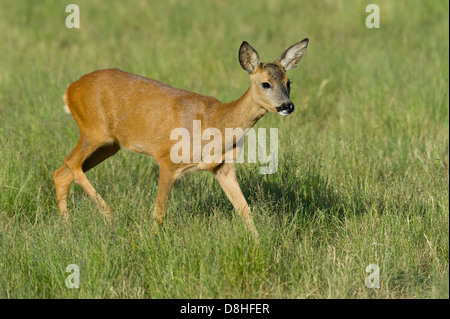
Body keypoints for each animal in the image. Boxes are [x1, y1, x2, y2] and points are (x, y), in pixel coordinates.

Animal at [51, 38, 308, 239]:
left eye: (289, 83)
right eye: (266, 83)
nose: (287, 106)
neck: (217, 121)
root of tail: (68, 90)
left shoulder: (224, 168)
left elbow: (245, 210)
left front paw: (259, 243)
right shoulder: (167, 159)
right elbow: (159, 212)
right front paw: (152, 243)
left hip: (110, 144)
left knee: (62, 172)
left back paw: (67, 228)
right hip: (94, 131)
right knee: (70, 163)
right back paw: (108, 215)